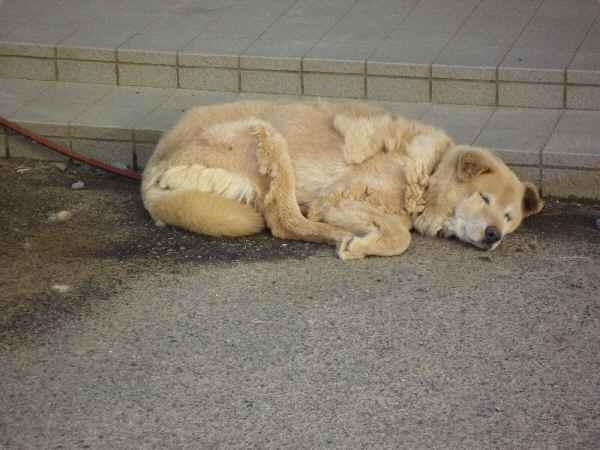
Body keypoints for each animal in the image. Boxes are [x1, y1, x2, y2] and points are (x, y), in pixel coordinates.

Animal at [141, 100, 543, 260]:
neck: (428, 171)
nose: (494, 235)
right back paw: (338, 236)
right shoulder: (336, 198)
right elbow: (400, 235)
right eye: (485, 199)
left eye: (509, 218)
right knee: (285, 221)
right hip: (267, 133)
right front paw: (367, 245)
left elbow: (398, 227)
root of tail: (153, 163)